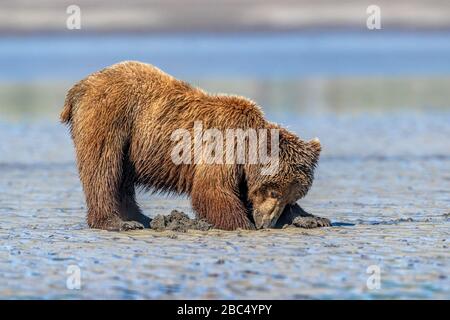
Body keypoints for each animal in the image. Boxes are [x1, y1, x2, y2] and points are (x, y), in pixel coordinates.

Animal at [60, 61, 320, 230]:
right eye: (273, 191)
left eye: (289, 196)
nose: (266, 222)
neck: (246, 146)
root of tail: (80, 86)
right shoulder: (222, 148)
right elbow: (211, 191)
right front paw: (242, 224)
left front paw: (312, 218)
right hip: (112, 118)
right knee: (103, 170)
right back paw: (118, 222)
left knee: (121, 179)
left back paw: (141, 218)